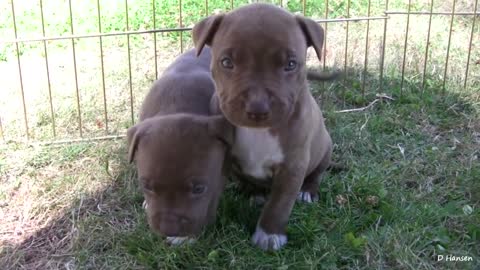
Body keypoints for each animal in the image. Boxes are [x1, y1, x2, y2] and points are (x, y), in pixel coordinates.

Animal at [127, 47, 232, 246]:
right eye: (146, 186)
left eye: (199, 189)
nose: (169, 228)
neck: (178, 107)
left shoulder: (217, 179)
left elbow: (207, 208)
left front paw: (186, 238)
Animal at [193, 3, 332, 250]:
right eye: (226, 62)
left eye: (290, 64)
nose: (257, 108)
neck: (258, 132)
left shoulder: (292, 167)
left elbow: (279, 204)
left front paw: (269, 234)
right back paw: (254, 194)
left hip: (325, 147)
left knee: (317, 173)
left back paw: (308, 191)